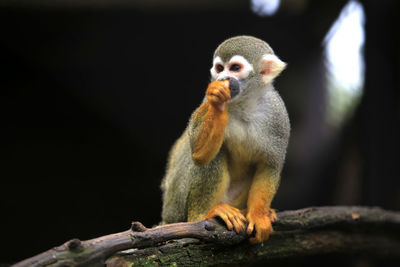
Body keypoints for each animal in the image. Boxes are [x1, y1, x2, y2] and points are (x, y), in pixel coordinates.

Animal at [161, 36, 290, 245]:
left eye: (235, 68)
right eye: (220, 68)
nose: (222, 79)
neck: (244, 104)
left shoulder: (278, 116)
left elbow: (270, 163)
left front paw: (258, 216)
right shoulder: (204, 101)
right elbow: (199, 155)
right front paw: (218, 103)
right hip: (176, 206)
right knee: (214, 156)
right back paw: (204, 216)